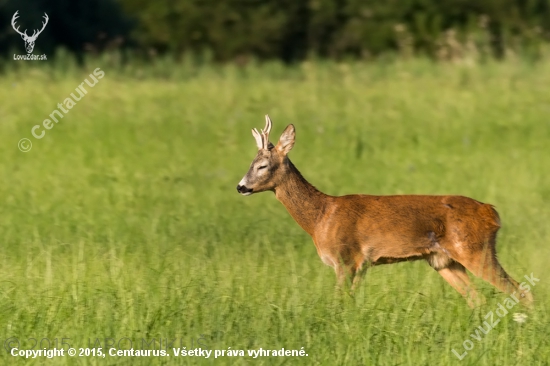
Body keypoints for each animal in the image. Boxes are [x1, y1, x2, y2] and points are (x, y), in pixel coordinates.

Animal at [236, 114, 536, 306]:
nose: (240, 187)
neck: (321, 217)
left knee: (521, 292)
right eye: (250, 163)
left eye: (262, 165)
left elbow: (339, 304)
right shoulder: (362, 264)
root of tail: (492, 212)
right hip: (444, 260)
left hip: (474, 249)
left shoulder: (346, 258)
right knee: (478, 299)